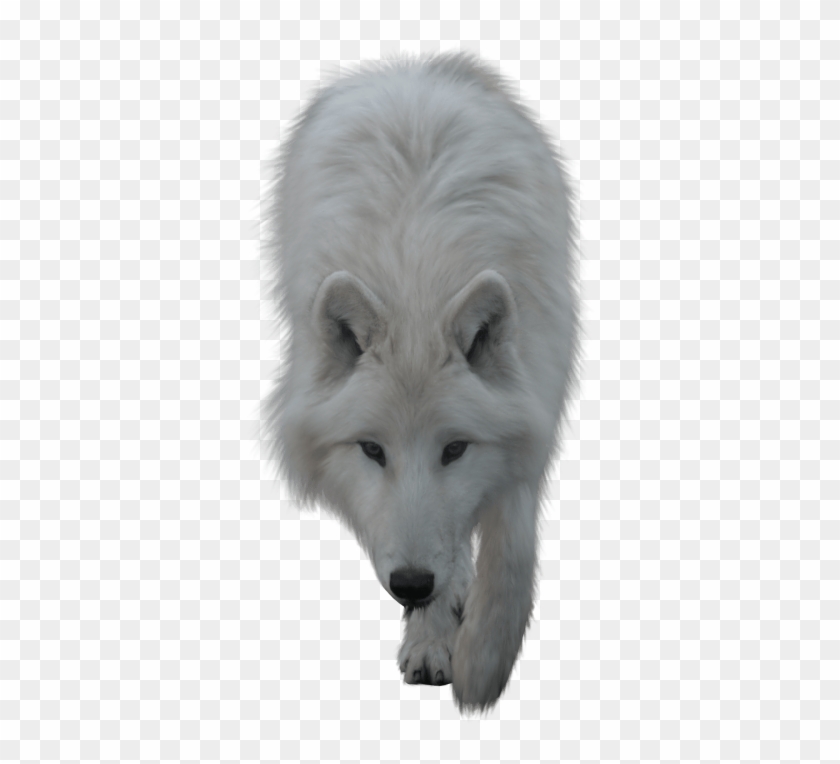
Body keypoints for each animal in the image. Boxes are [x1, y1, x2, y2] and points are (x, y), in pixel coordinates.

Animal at [263, 53, 578, 712]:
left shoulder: (532, 410)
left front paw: (483, 665)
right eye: (371, 449)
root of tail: (408, 68)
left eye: (455, 448)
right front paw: (435, 635)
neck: (418, 288)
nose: (410, 586)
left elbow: (510, 548)